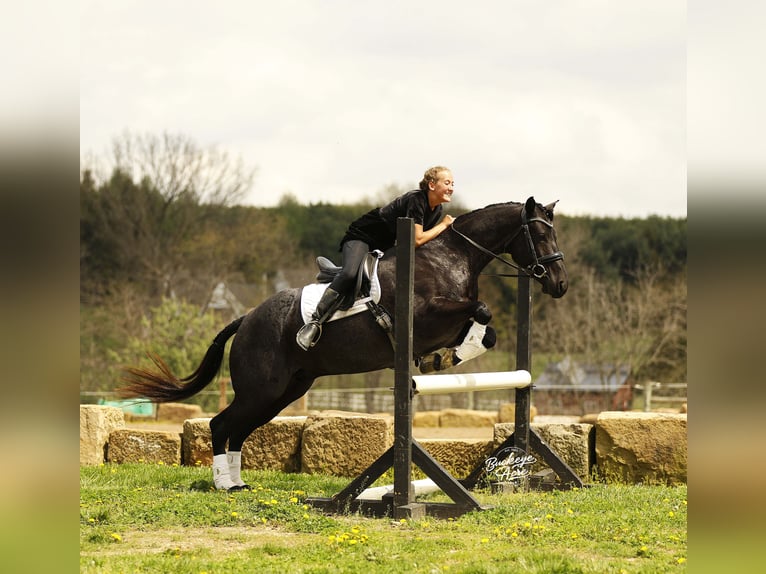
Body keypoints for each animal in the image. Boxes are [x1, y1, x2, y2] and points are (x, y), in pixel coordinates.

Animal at [120, 196, 568, 490]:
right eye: (538, 233)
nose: (560, 284)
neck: (450, 257)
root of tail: (246, 318)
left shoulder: (449, 322)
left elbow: (485, 329)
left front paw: (446, 358)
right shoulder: (425, 316)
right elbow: (483, 310)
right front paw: (441, 360)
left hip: (283, 392)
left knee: (239, 429)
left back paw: (237, 481)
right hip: (261, 388)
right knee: (221, 424)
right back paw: (224, 484)